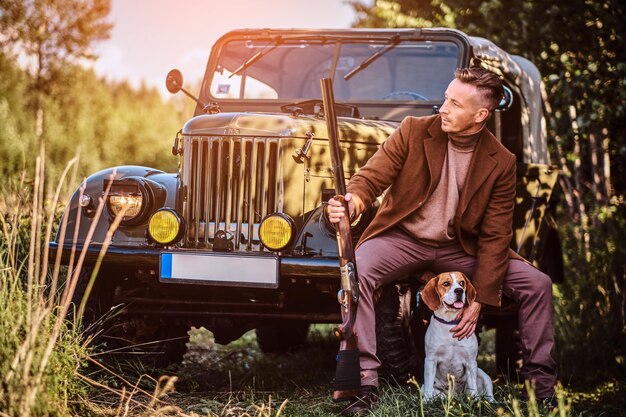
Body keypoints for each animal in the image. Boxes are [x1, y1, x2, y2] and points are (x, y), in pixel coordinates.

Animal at [420, 270, 492, 400]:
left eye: (462, 283)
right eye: (446, 283)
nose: (459, 290)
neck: (450, 323)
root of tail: (455, 396)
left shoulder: (470, 362)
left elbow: (473, 387)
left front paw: (475, 401)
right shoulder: (430, 360)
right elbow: (428, 386)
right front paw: (426, 401)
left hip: (483, 374)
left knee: (488, 393)